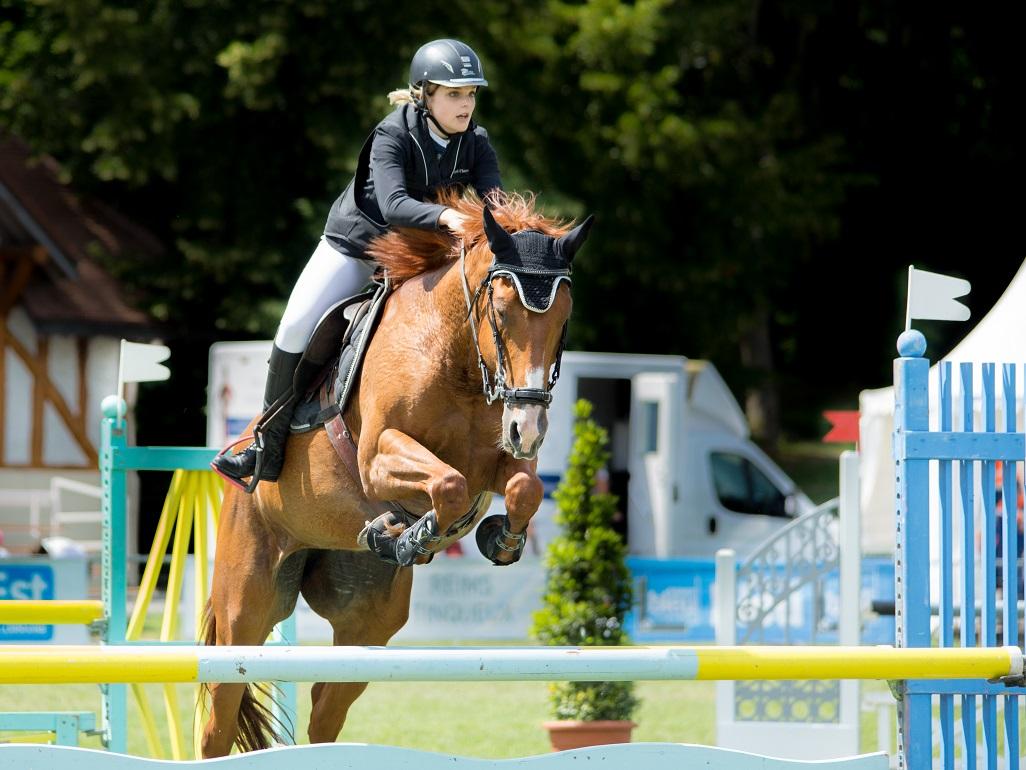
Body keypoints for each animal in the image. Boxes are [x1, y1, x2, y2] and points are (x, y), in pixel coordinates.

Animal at [199, 193, 595, 759]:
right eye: (500, 311)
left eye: (563, 317)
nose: (530, 428)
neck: (455, 356)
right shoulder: (377, 458)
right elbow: (447, 484)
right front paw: (416, 535)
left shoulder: (497, 461)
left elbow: (524, 487)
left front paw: (497, 540)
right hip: (245, 607)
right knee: (220, 716)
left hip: (368, 621)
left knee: (326, 712)